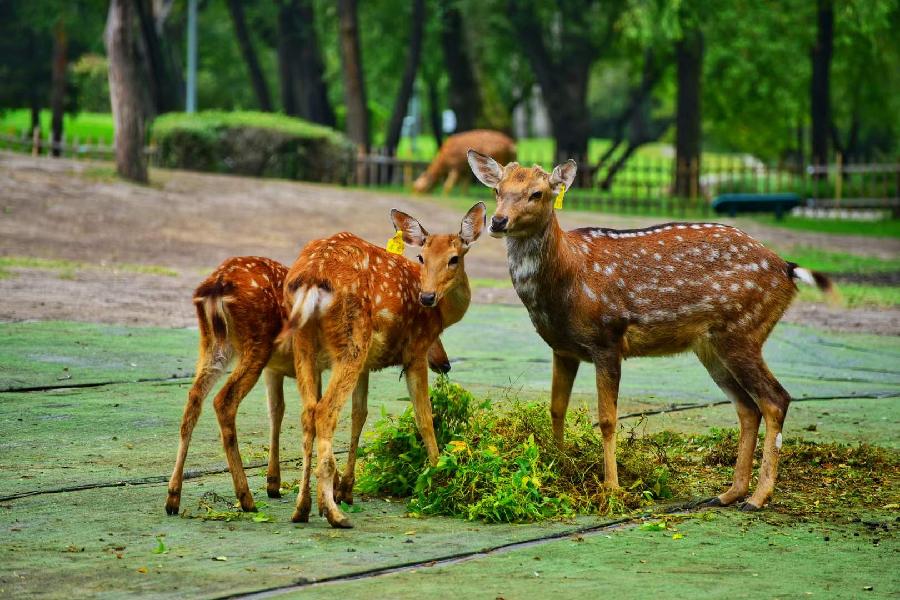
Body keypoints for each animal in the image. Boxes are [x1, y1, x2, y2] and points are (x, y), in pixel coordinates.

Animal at [164, 256, 453, 516]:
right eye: (436, 336)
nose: (446, 364)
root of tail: (214, 287)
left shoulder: (279, 369)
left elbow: (278, 411)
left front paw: (275, 483)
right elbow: (335, 414)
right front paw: (336, 488)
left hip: (214, 344)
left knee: (193, 399)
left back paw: (173, 497)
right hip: (256, 344)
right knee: (223, 400)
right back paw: (245, 498)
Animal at [282, 202, 486, 528]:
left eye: (454, 258)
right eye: (421, 257)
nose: (427, 296)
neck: (442, 315)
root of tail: (313, 277)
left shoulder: (367, 364)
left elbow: (359, 415)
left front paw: (347, 488)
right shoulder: (416, 350)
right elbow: (424, 417)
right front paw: (439, 477)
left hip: (305, 344)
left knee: (308, 413)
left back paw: (302, 507)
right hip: (352, 339)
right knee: (325, 412)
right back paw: (334, 514)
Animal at [467, 150, 834, 511]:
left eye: (537, 193)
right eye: (497, 190)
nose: (497, 222)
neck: (568, 278)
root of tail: (787, 268)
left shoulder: (608, 338)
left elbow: (607, 419)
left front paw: (612, 491)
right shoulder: (562, 347)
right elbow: (557, 409)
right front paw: (556, 472)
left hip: (743, 330)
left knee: (775, 399)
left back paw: (757, 499)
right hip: (713, 346)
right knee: (747, 407)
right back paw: (729, 494)